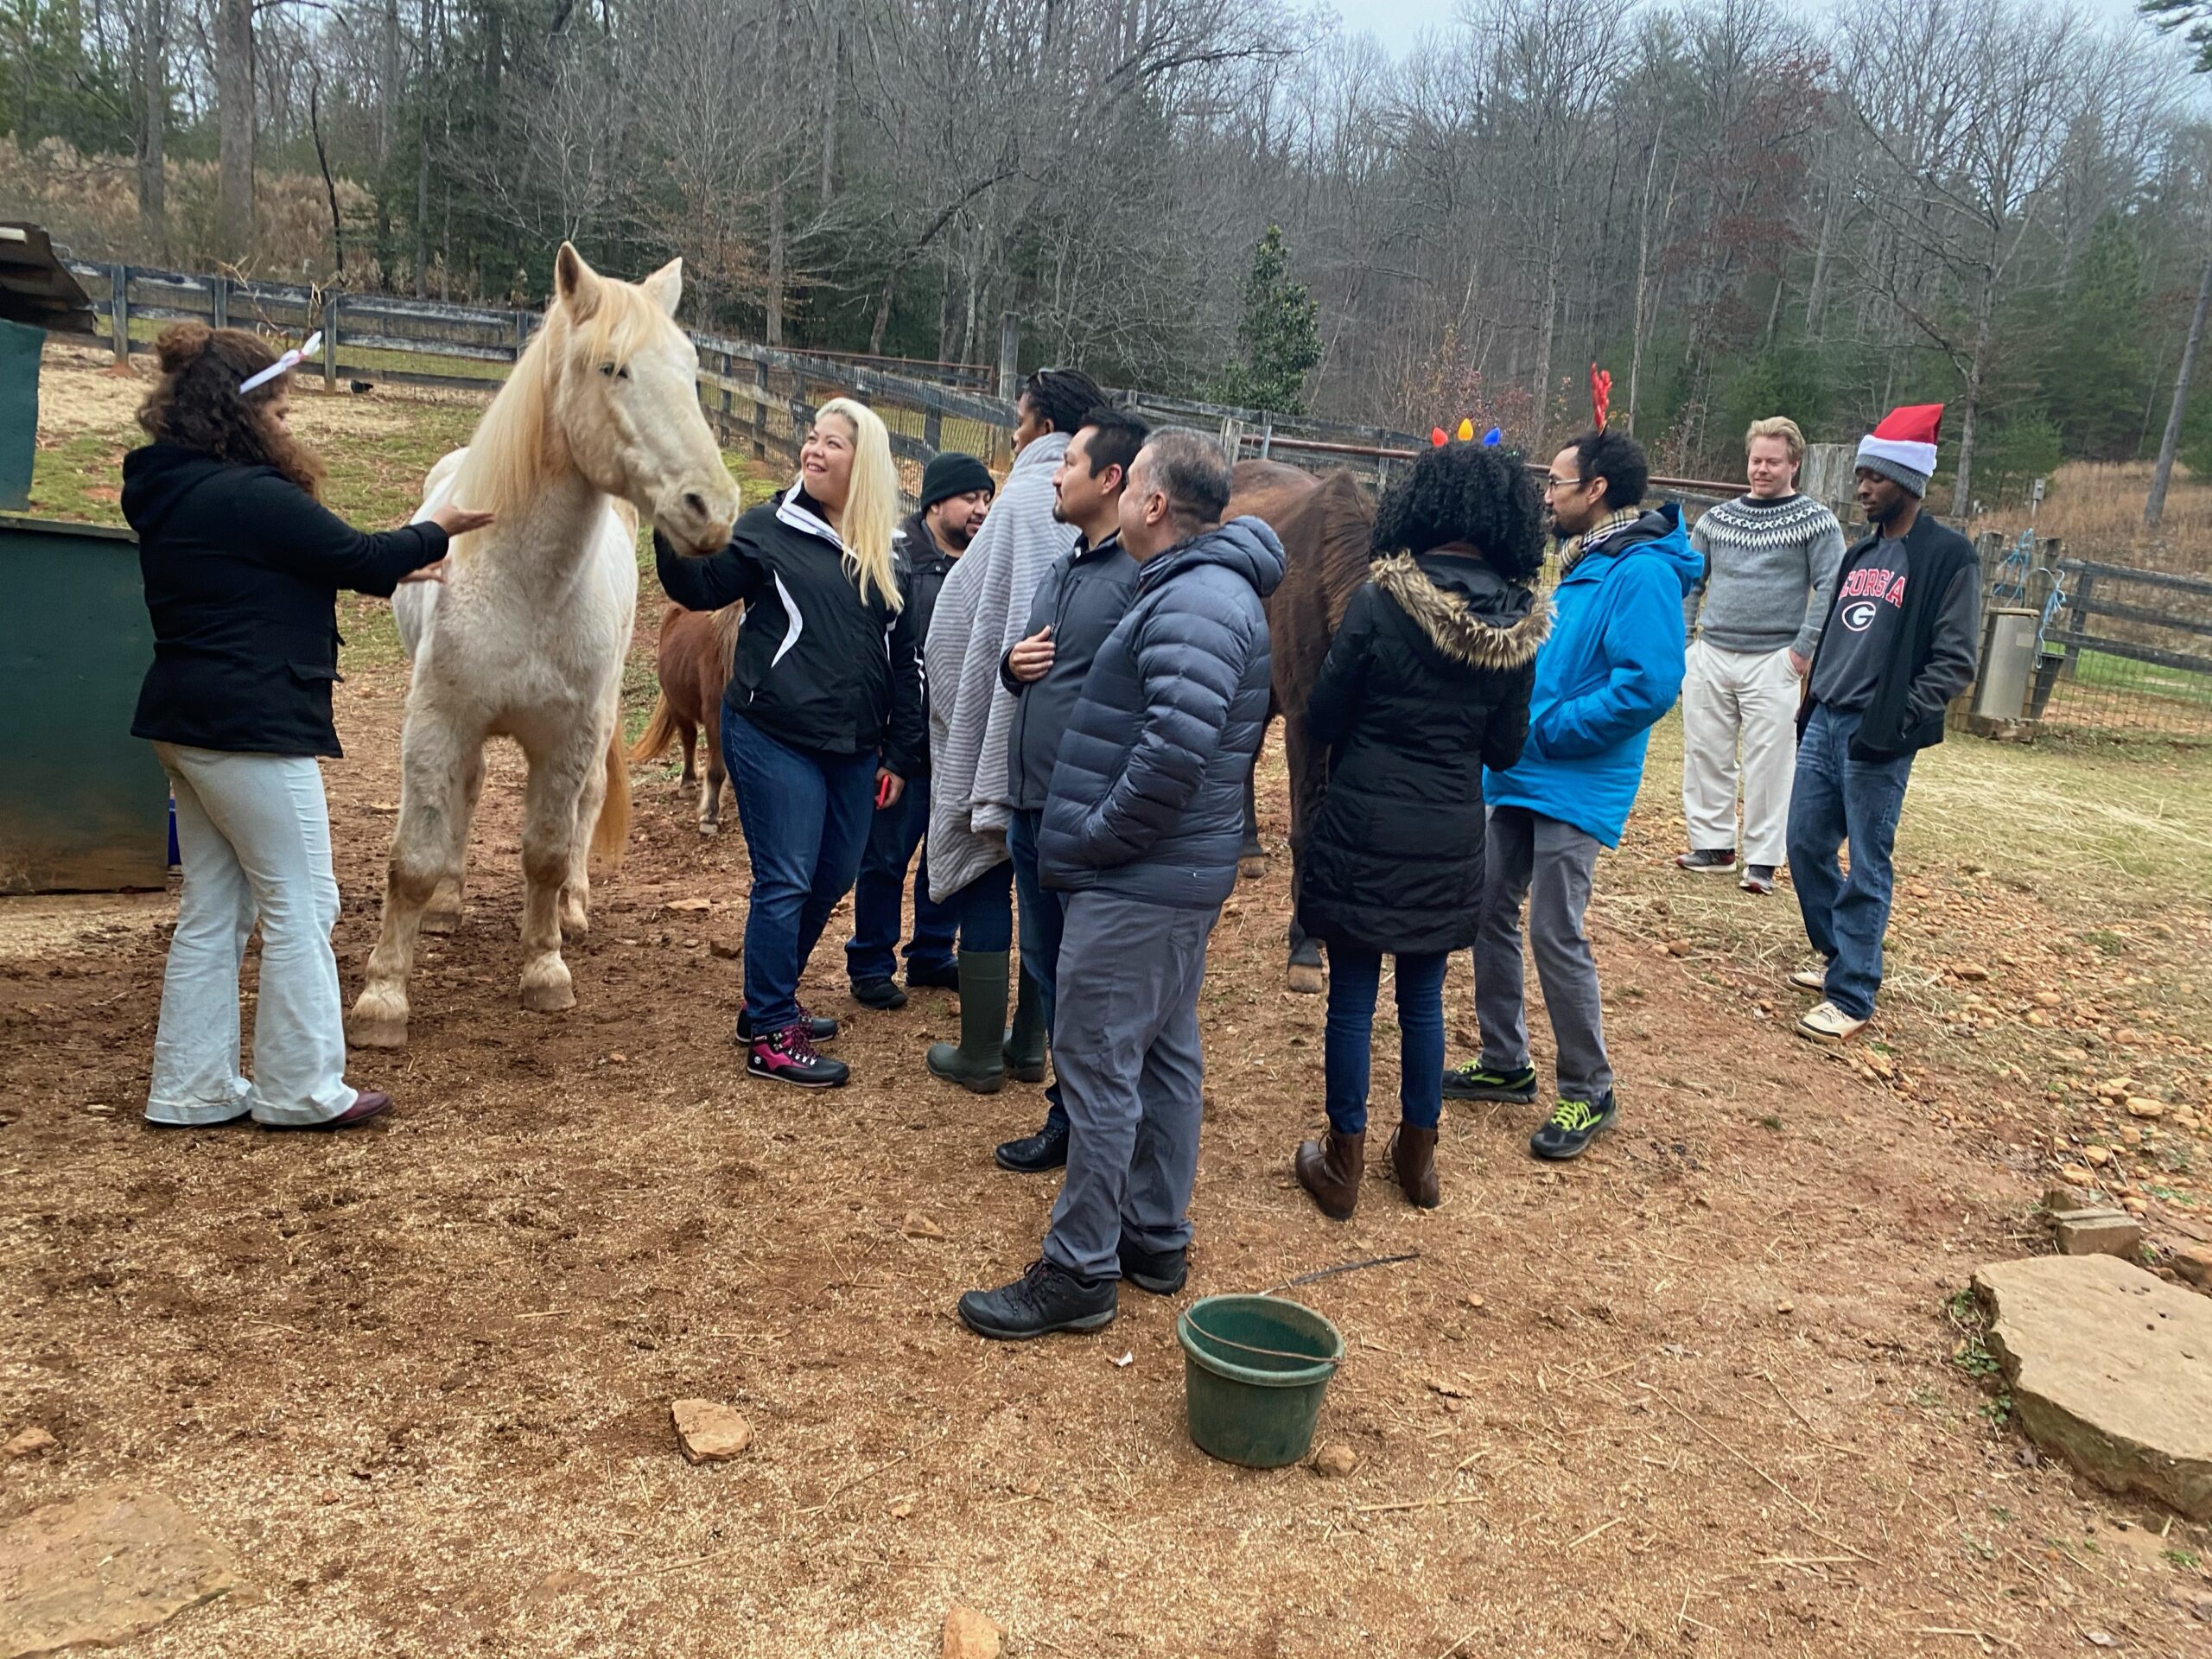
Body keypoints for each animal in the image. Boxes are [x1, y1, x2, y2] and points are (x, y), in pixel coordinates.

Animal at [627, 601, 741, 835]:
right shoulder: (714, 718)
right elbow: (716, 770)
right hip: (677, 706)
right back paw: (687, 783)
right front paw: (710, 816)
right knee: (689, 739)